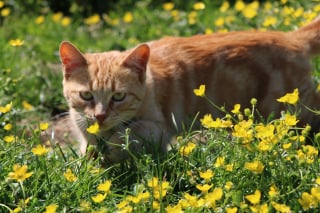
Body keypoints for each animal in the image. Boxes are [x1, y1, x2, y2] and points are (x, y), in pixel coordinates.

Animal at [59, 17, 320, 163]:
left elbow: (127, 134)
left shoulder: (158, 129)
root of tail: (291, 38)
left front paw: (112, 151)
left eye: (119, 96)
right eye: (86, 95)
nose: (100, 116)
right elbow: (87, 150)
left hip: (289, 108)